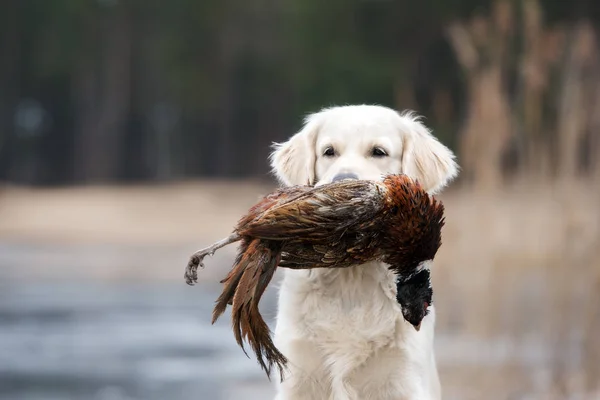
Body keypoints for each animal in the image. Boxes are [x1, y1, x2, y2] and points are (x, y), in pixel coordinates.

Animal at [268, 104, 460, 398]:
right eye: (329, 151)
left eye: (378, 152)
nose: (344, 184)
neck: (352, 278)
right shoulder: (298, 377)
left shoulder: (404, 378)